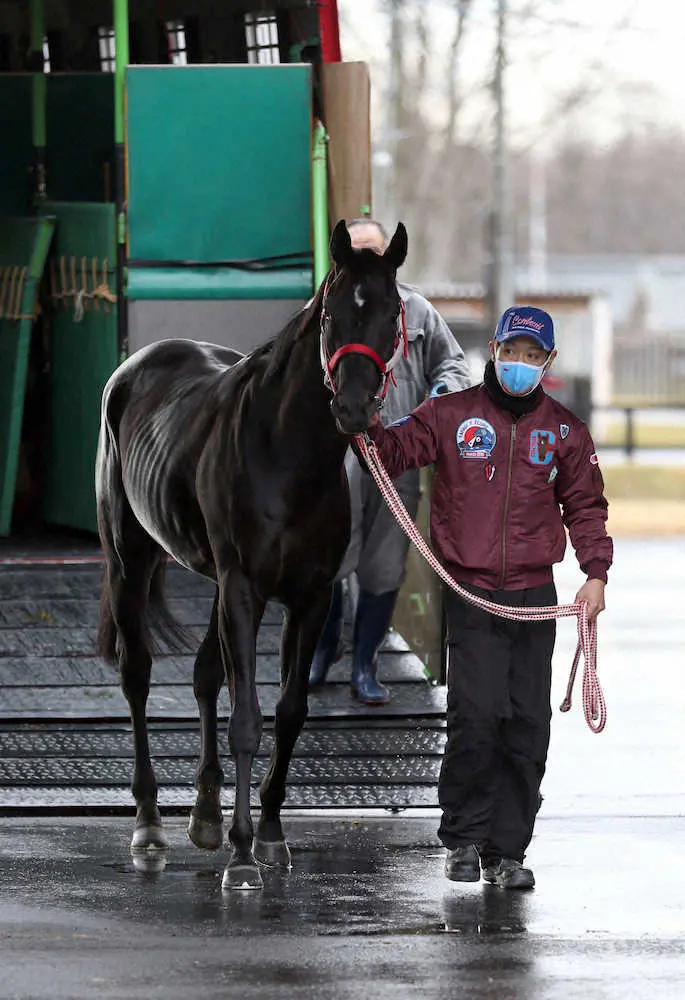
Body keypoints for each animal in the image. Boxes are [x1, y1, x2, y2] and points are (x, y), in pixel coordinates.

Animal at [96, 220, 409, 889]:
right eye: (332, 313)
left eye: (392, 311)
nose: (354, 408)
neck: (286, 452)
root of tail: (137, 364)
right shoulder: (245, 588)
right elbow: (247, 718)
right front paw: (241, 857)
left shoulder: (309, 597)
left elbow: (288, 711)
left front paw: (268, 836)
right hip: (131, 561)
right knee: (138, 676)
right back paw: (150, 824)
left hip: (215, 582)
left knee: (205, 676)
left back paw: (206, 815)